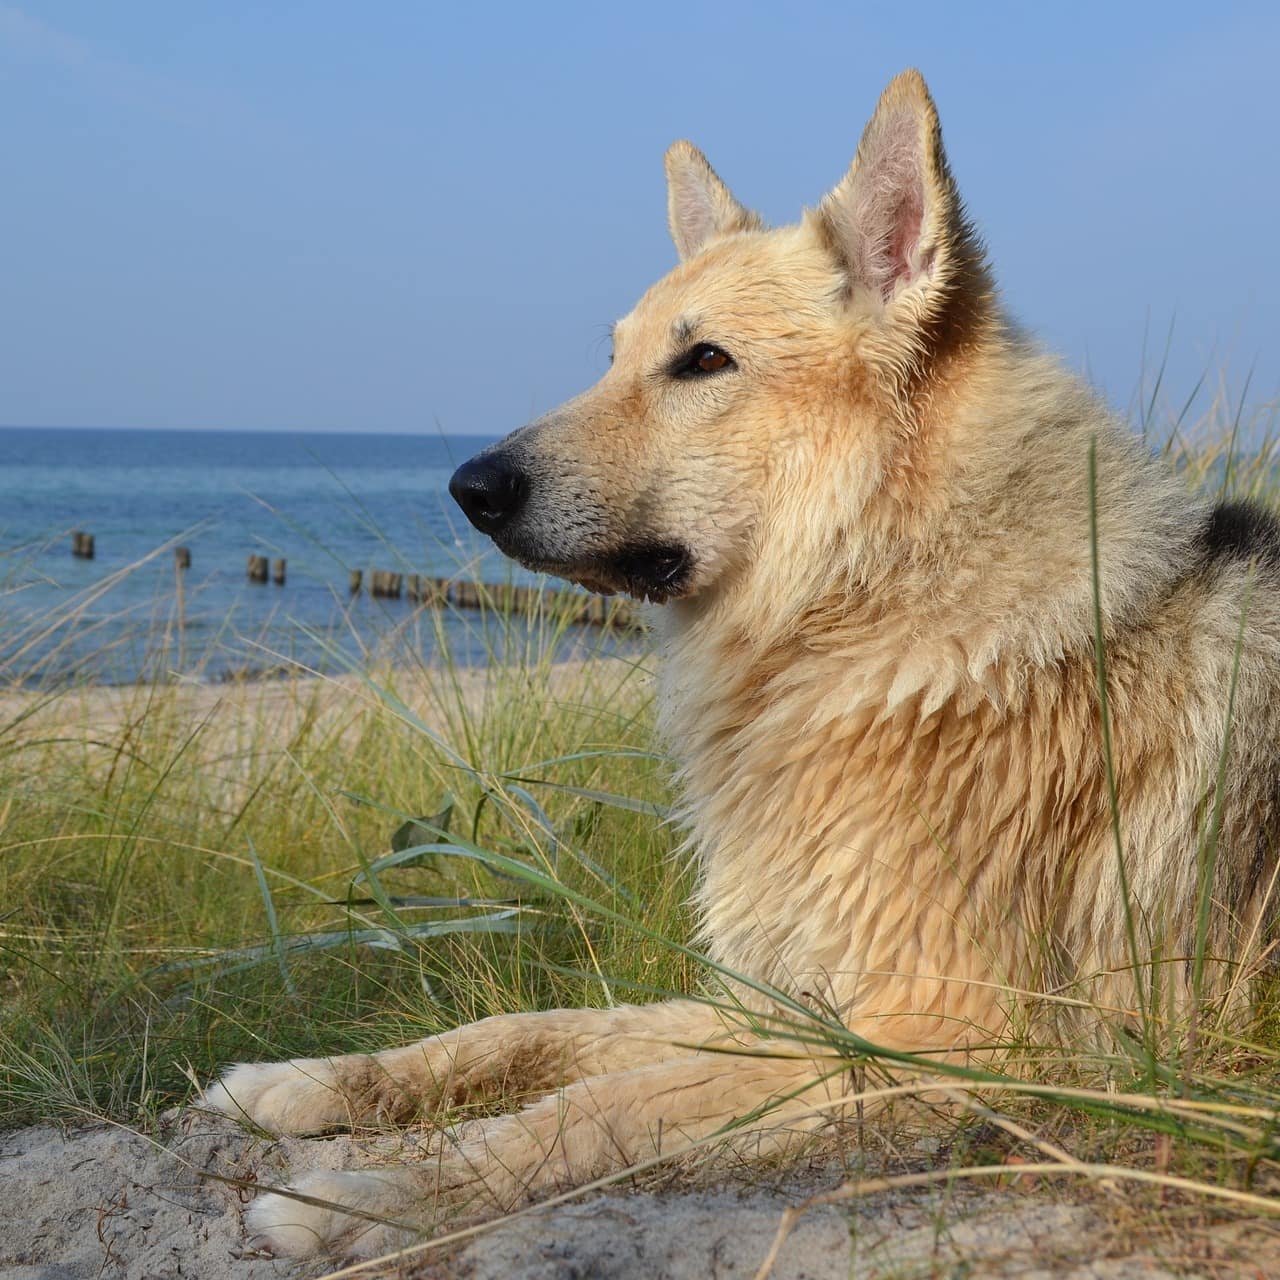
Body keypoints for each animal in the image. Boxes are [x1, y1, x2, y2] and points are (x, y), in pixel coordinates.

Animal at [204, 72, 1274, 1259]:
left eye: (704, 361)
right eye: (613, 356)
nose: (469, 487)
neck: (881, 607)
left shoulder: (932, 1040)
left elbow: (595, 1105)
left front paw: (379, 1194)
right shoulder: (771, 1004)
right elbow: (531, 1029)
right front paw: (318, 1081)